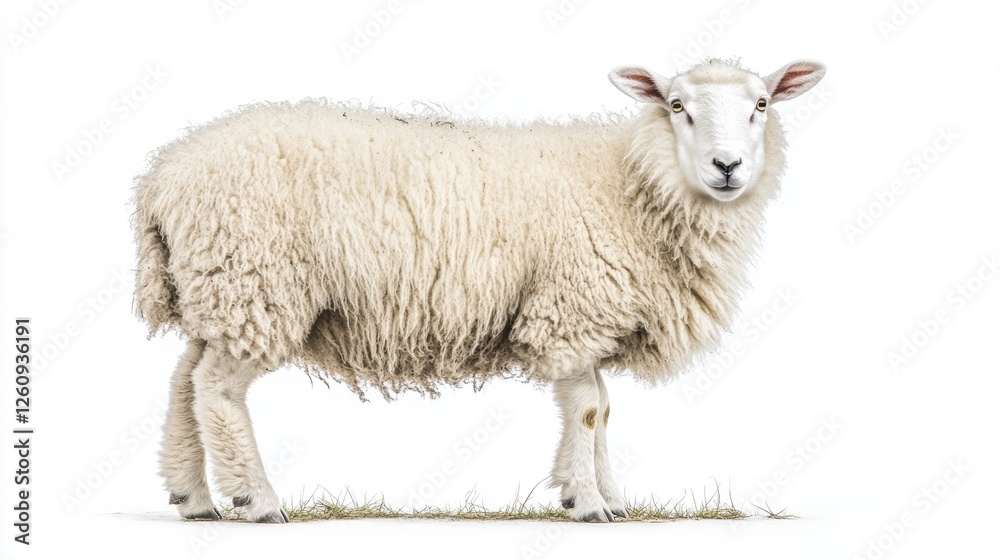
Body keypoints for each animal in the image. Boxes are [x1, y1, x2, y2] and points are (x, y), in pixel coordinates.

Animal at [135, 58, 826, 523]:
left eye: (762, 104)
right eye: (677, 105)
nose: (727, 166)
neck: (634, 183)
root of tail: (164, 175)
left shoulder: (585, 318)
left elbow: (603, 410)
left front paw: (610, 496)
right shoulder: (570, 310)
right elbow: (588, 409)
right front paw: (588, 503)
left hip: (221, 289)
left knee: (183, 380)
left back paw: (192, 496)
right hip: (257, 285)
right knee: (216, 389)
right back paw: (256, 499)